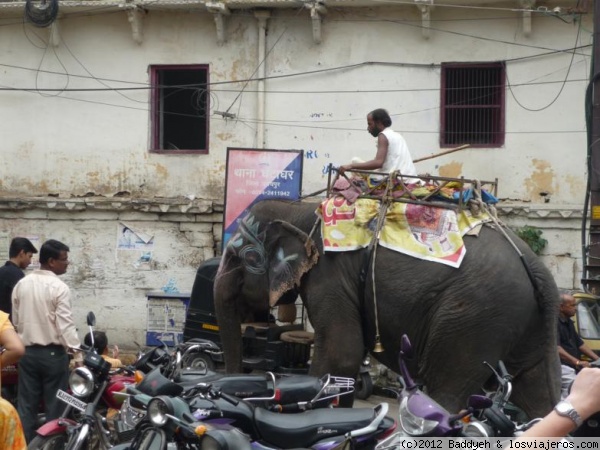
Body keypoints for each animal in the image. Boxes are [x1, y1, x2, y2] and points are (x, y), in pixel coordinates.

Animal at [214, 198, 564, 418]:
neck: (299, 209)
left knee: (447, 392)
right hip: (532, 323)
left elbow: (341, 354)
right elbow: (346, 363)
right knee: (541, 394)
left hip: (474, 319)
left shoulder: (329, 276)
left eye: (241, 258)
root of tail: (534, 267)